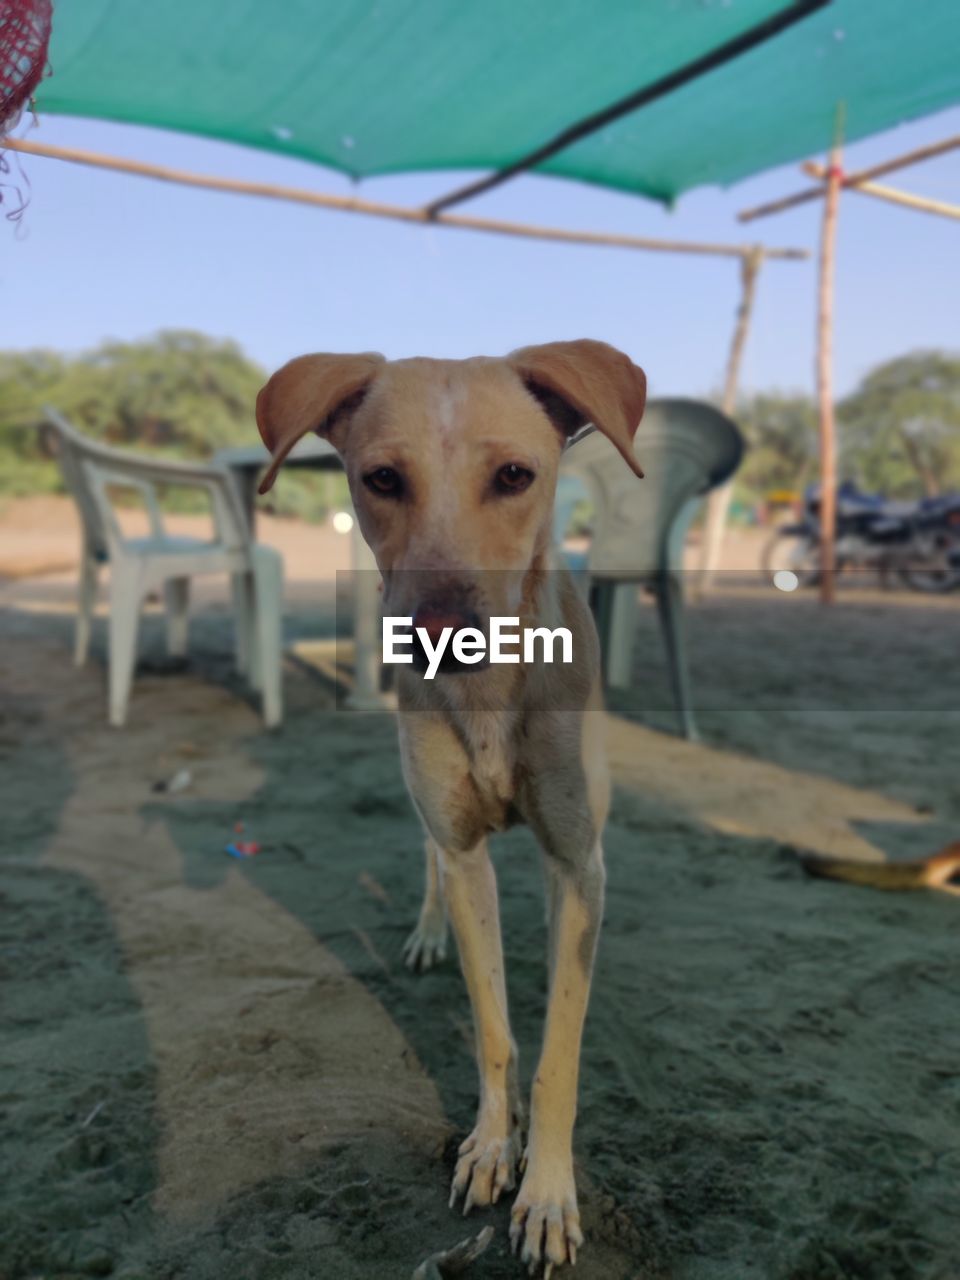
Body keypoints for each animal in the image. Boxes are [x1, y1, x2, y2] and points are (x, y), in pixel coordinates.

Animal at [256, 337, 647, 1269]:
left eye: (514, 475)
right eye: (380, 478)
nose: (437, 639)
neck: (490, 699)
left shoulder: (579, 859)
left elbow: (558, 1052)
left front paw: (547, 1193)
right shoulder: (469, 852)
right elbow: (496, 1030)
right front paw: (493, 1149)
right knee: (432, 861)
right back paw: (429, 933)